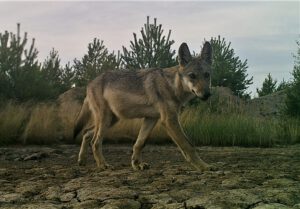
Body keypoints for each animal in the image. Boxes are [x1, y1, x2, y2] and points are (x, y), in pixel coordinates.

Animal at [72, 41, 213, 171]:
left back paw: (81, 160)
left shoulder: (151, 119)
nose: (207, 94)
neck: (171, 85)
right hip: (106, 121)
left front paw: (136, 164)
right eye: (192, 76)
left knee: (86, 133)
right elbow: (188, 145)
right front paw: (203, 166)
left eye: (207, 75)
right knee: (95, 142)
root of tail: (90, 83)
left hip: (112, 120)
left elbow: (139, 143)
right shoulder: (169, 120)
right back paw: (102, 165)